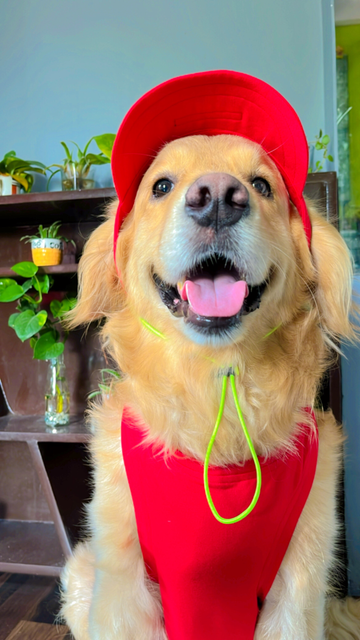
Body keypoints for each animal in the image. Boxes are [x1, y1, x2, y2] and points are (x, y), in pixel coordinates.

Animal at [60, 71, 358, 640]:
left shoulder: (298, 586)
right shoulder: (125, 590)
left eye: (262, 185)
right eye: (160, 186)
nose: (218, 197)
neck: (216, 386)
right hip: (83, 572)